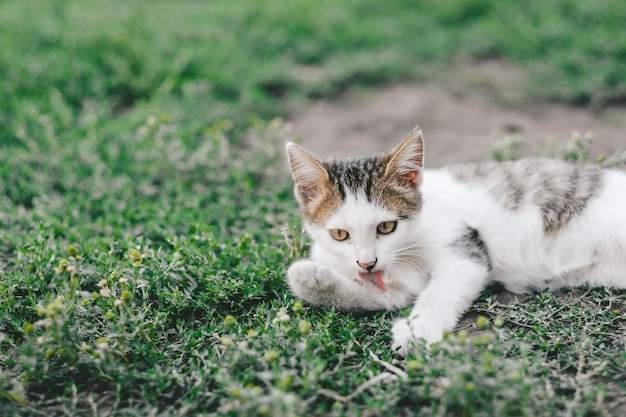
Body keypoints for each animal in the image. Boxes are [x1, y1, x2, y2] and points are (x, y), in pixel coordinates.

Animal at [284, 126, 624, 354]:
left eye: (386, 227)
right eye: (340, 234)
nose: (368, 262)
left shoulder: (466, 245)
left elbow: (441, 290)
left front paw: (418, 329)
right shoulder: (394, 286)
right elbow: (379, 296)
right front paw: (311, 278)